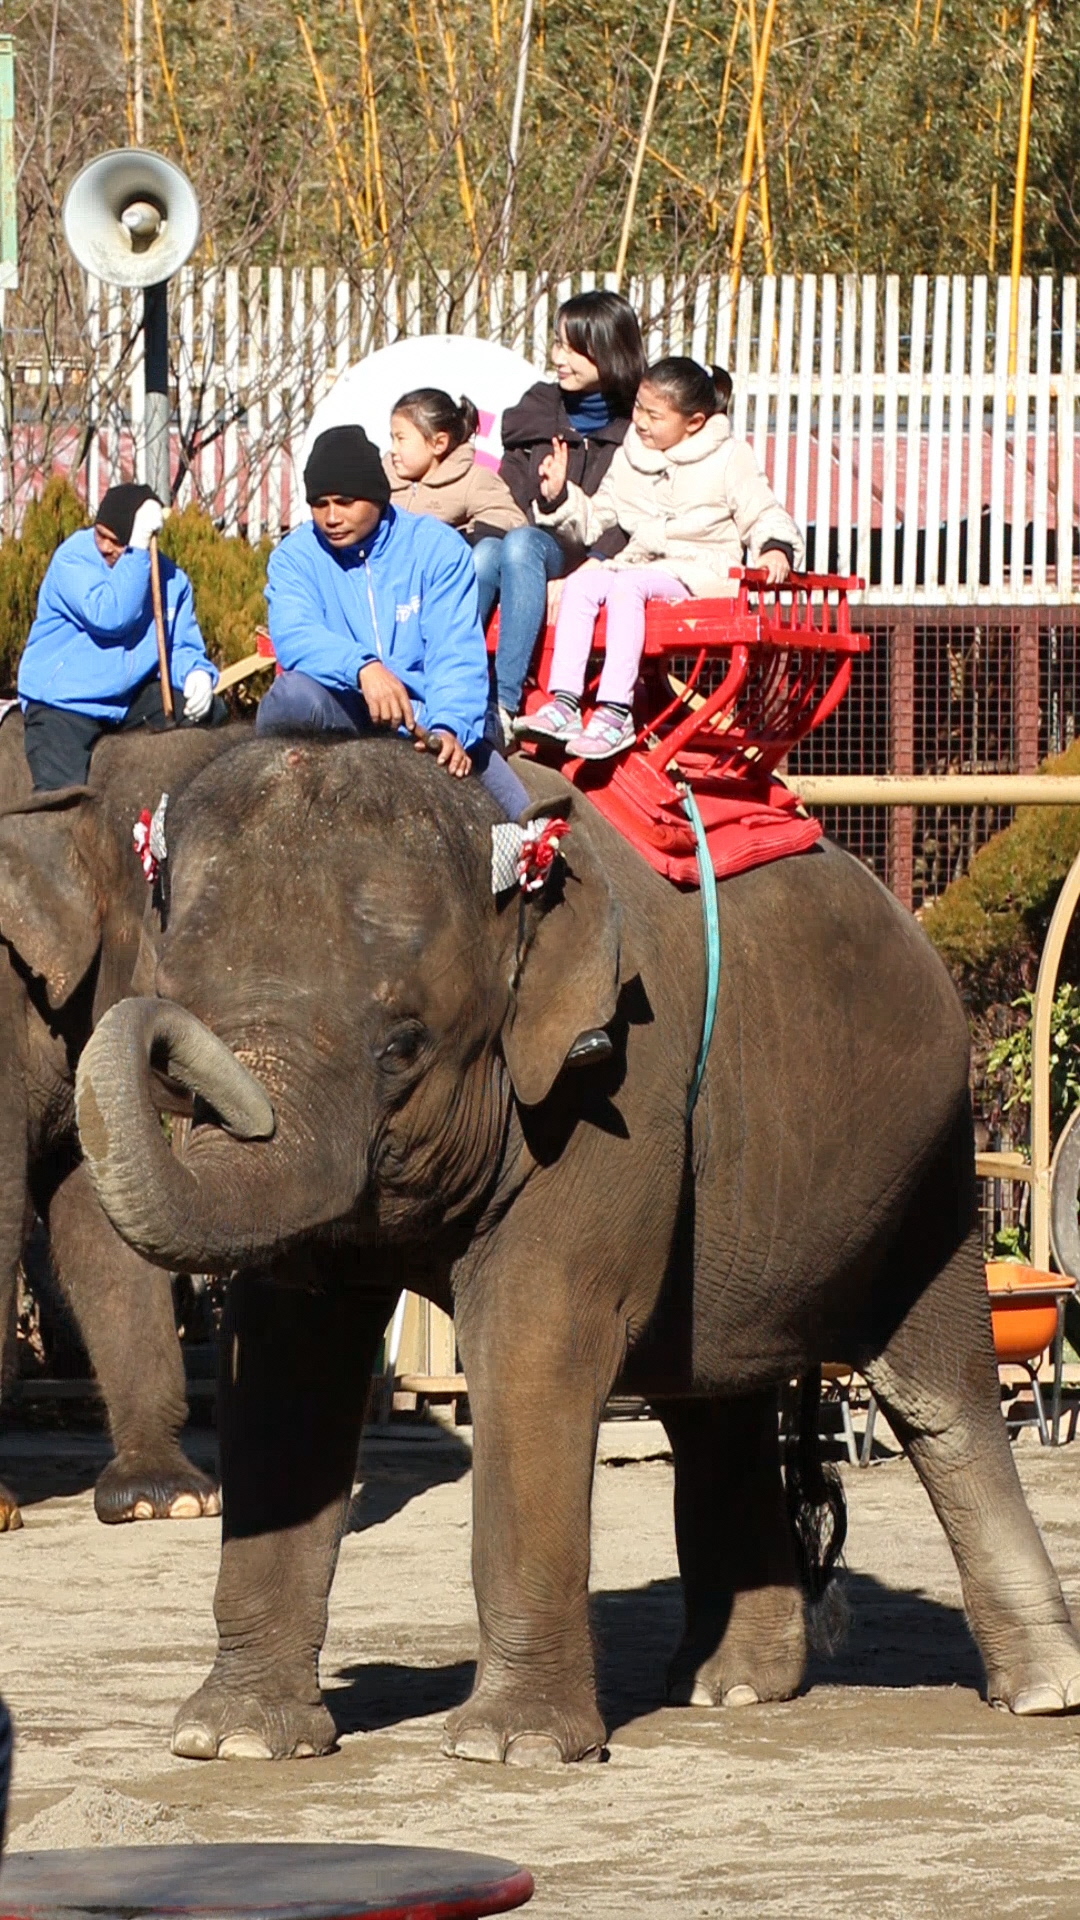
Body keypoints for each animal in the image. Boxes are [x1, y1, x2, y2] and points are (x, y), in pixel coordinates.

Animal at [79, 737, 1076, 1766]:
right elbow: (287, 1360)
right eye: (184, 1011)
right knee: (713, 1400)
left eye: (403, 1046)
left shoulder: (609, 1088)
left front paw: (508, 1749)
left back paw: (1038, 1694)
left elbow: (532, 1342)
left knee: (938, 1396)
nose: (156, 1035)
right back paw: (733, 1689)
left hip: (926, 1160)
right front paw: (231, 1740)